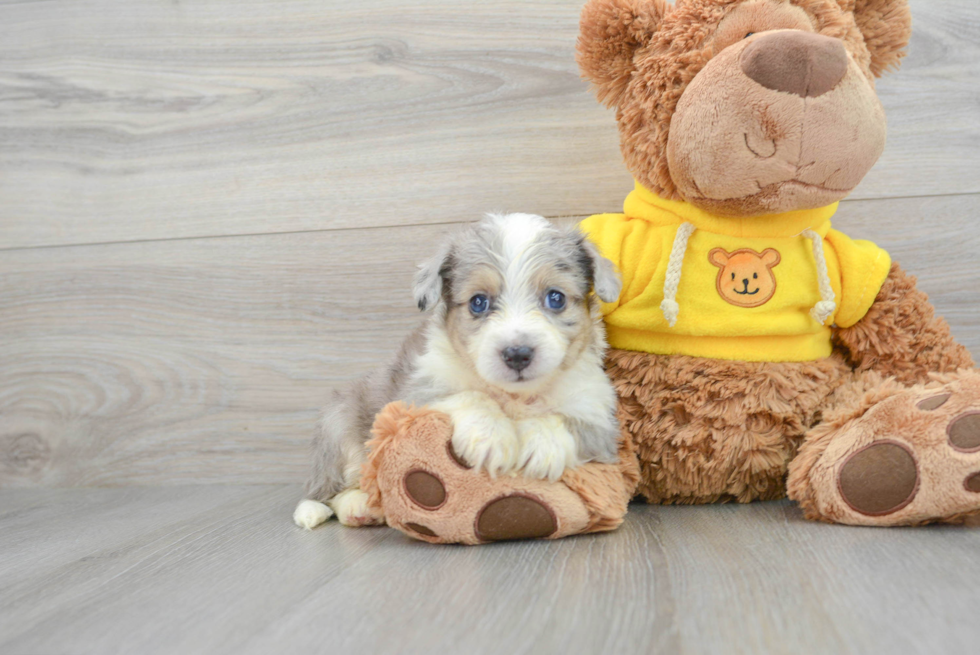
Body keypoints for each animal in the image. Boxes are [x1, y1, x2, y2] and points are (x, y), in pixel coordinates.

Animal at [294, 213, 624, 532]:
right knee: (327, 489)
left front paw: (543, 446)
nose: (517, 354)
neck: (514, 396)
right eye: (479, 302)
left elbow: (564, 419)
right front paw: (490, 436)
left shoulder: (599, 418)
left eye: (556, 298)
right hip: (339, 427)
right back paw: (348, 507)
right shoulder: (418, 392)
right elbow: (470, 396)